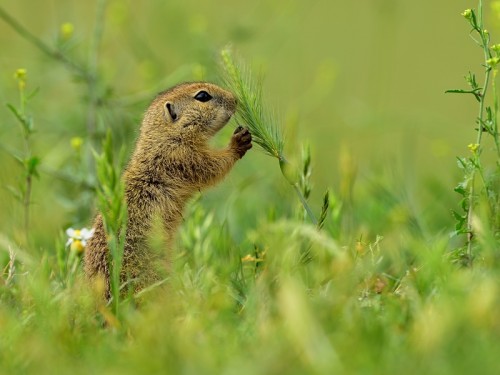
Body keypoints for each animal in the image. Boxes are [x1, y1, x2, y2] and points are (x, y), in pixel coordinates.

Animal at [84, 82, 254, 296]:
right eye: (203, 96)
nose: (236, 99)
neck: (164, 137)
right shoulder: (182, 156)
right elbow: (211, 166)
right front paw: (238, 142)